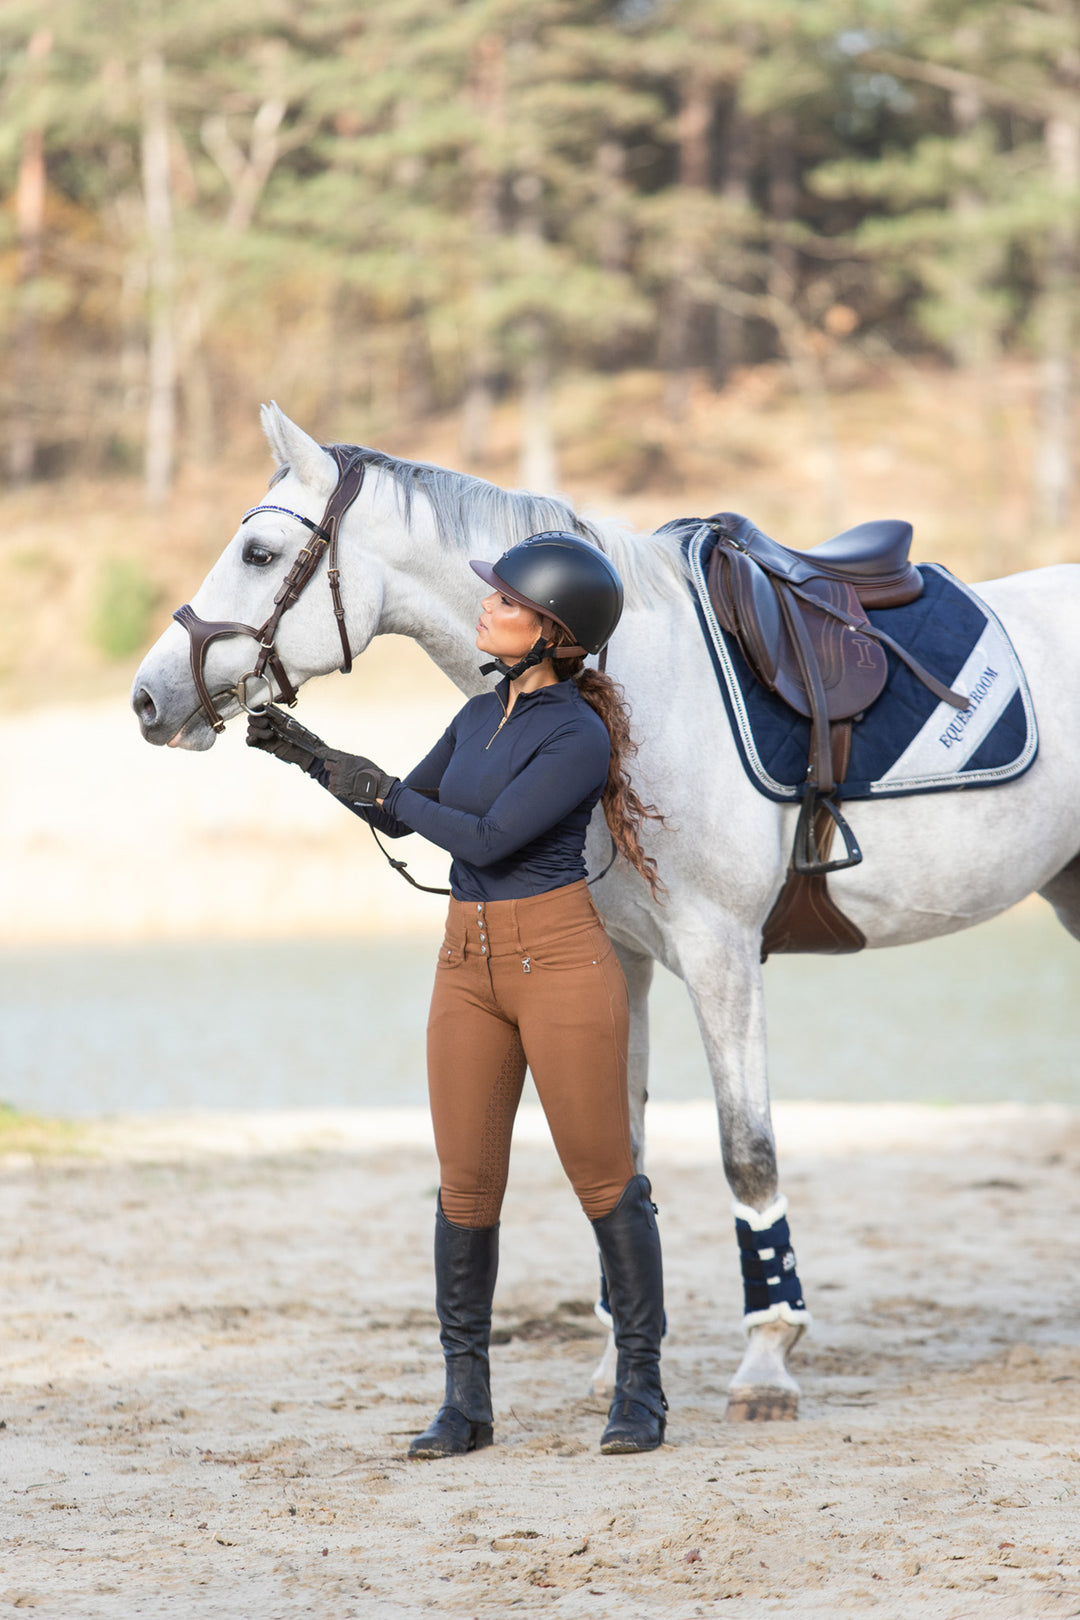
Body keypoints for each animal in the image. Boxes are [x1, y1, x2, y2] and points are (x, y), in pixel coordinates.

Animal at [128, 405, 1080, 1419]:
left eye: (260, 553)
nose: (149, 698)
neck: (637, 695)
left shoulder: (719, 954)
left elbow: (747, 1152)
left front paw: (767, 1359)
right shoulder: (617, 958)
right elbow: (613, 1149)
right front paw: (622, 1354)